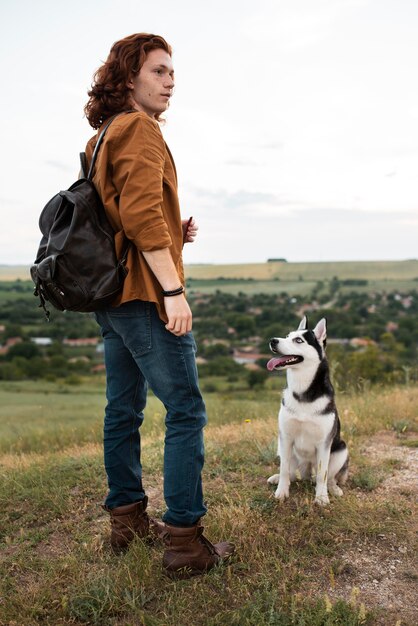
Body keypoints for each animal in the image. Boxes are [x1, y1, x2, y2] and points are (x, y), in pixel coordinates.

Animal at [266, 316, 348, 502]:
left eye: (298, 340)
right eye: (287, 336)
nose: (273, 340)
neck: (302, 390)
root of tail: (306, 470)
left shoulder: (324, 444)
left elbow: (322, 474)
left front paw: (321, 498)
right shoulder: (286, 437)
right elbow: (284, 469)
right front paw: (282, 492)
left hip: (341, 450)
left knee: (329, 476)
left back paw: (333, 488)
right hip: (283, 447)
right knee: (291, 472)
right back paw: (278, 478)